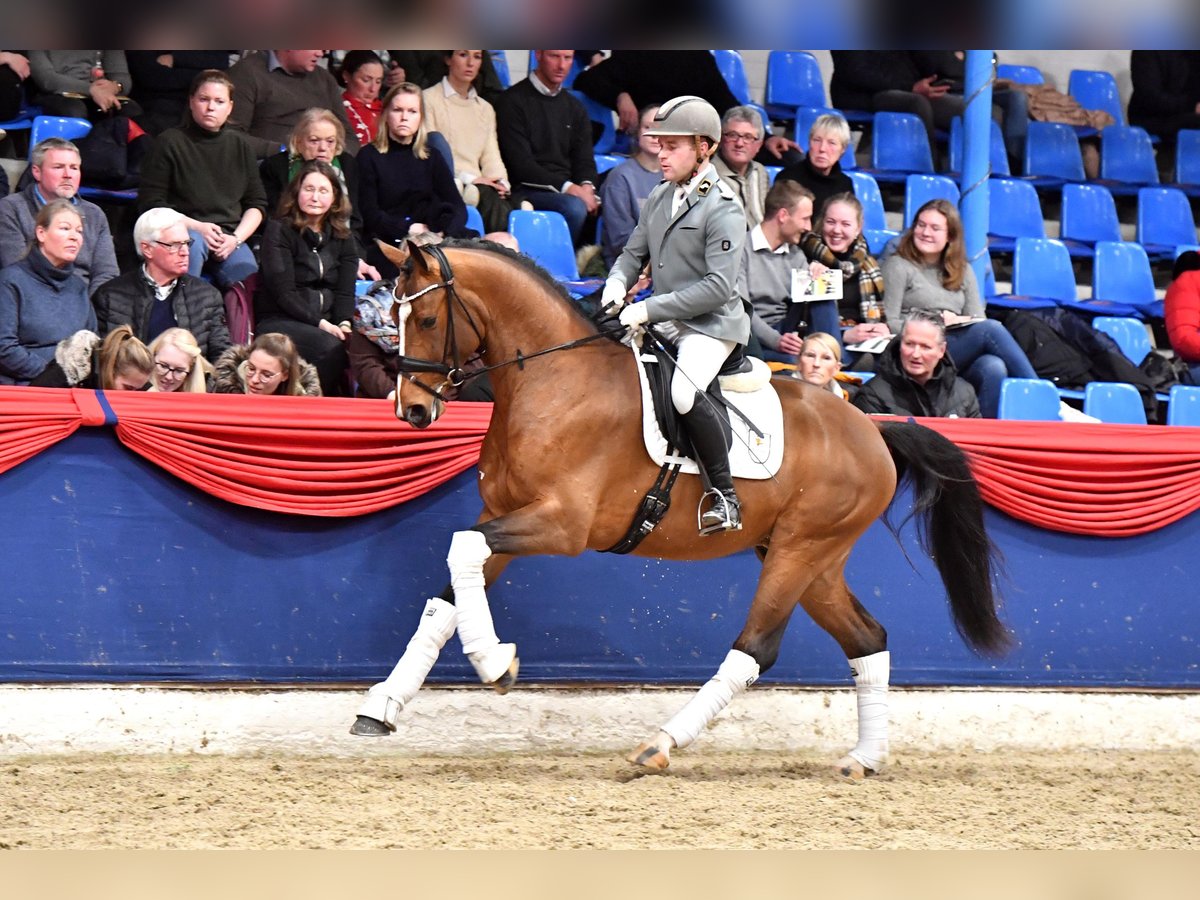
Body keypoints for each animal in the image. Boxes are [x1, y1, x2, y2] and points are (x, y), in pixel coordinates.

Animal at [350, 240, 1008, 782]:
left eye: (427, 319)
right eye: (392, 319)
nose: (411, 411)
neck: (553, 378)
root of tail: (872, 427)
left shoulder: (561, 524)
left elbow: (461, 547)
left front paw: (495, 664)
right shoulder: (506, 517)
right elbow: (447, 595)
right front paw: (380, 707)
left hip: (800, 551)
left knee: (756, 648)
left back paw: (661, 744)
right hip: (813, 559)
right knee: (867, 638)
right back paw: (864, 758)